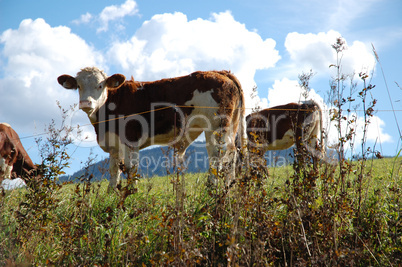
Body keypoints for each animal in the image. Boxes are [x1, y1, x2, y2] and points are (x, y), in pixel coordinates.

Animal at [56, 67, 245, 191]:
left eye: (100, 85)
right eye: (78, 86)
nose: (86, 103)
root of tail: (220, 72)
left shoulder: (130, 138)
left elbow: (131, 168)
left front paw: (131, 193)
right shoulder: (114, 144)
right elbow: (114, 170)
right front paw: (111, 193)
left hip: (217, 126)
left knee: (219, 155)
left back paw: (213, 187)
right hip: (229, 126)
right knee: (231, 155)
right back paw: (228, 187)